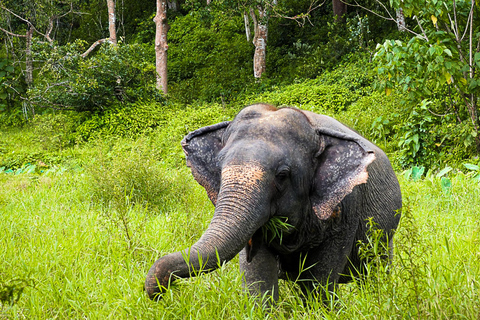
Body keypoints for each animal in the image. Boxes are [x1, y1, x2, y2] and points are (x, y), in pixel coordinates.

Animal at [145, 104, 402, 302]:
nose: (161, 293)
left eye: (282, 175)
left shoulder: (347, 205)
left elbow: (319, 279)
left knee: (375, 271)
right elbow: (257, 275)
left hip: (385, 235)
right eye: (218, 168)